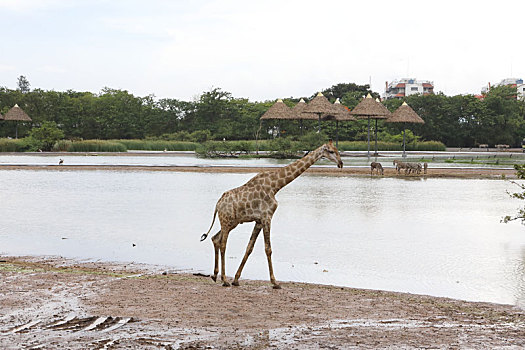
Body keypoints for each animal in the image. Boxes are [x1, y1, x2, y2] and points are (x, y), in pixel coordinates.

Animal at [201, 141, 344, 288]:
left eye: (337, 150)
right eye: (331, 151)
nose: (341, 163)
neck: (275, 186)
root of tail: (218, 204)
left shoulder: (259, 220)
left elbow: (249, 248)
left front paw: (236, 279)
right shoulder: (267, 217)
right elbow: (268, 249)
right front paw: (275, 282)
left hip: (232, 222)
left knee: (215, 239)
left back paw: (215, 275)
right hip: (226, 220)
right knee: (223, 243)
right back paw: (224, 279)